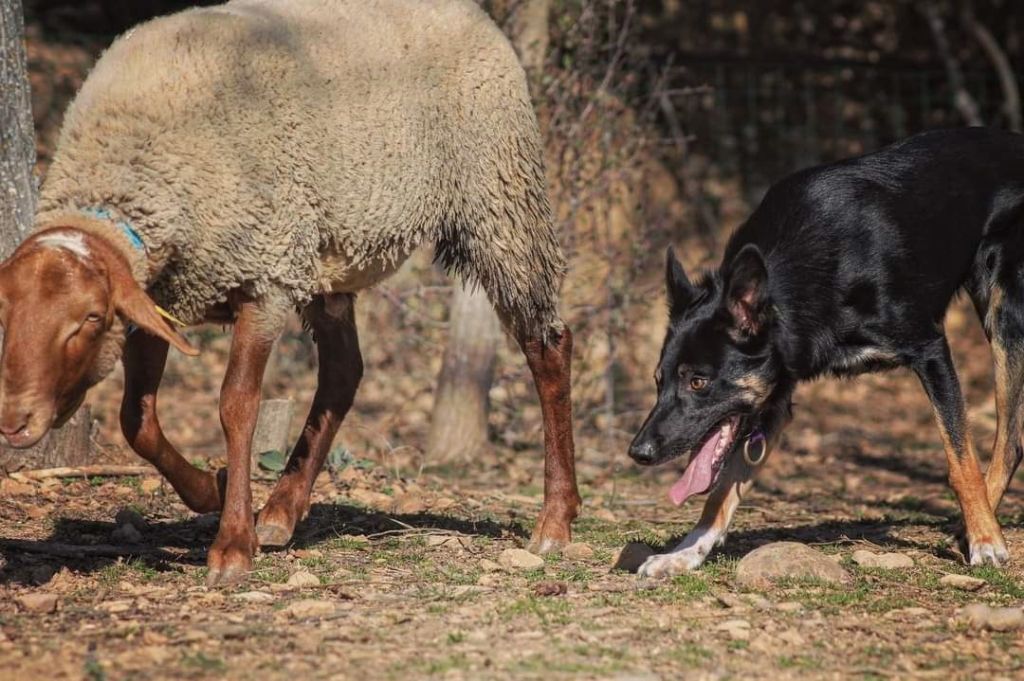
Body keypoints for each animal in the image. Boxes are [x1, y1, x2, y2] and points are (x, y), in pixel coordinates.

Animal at [0, 0, 577, 585]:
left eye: (90, 318)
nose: (14, 421)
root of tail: (474, 14)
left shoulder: (266, 276)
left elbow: (237, 405)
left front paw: (232, 545)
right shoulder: (159, 298)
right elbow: (136, 420)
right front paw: (211, 490)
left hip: (499, 192)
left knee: (547, 342)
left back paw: (555, 519)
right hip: (326, 257)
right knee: (344, 371)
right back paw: (281, 509)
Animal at [630, 125, 1024, 573]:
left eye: (698, 381)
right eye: (659, 381)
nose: (638, 453)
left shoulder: (931, 351)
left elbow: (960, 461)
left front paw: (986, 540)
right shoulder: (775, 394)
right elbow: (721, 488)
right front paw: (684, 553)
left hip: (1004, 312)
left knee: (1009, 440)